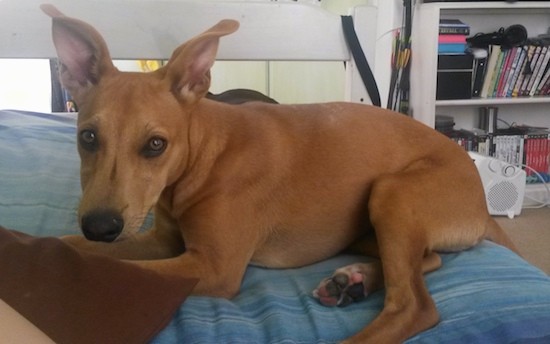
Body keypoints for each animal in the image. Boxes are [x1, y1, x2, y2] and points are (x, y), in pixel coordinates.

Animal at [41, 4, 520, 342]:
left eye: (155, 145)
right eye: (87, 137)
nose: (99, 226)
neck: (207, 155)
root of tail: (481, 204)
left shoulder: (214, 267)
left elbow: (103, 265)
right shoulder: (161, 240)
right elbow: (70, 245)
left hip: (392, 193)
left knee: (414, 306)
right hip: (370, 224)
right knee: (426, 260)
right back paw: (354, 280)